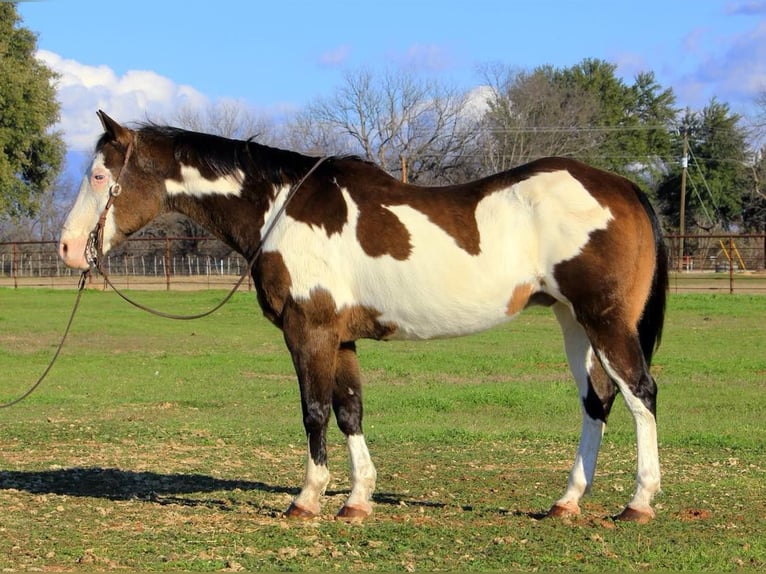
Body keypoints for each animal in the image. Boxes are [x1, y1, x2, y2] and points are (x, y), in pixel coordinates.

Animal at [60, 110, 668, 524]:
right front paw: (357, 499)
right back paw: (567, 501)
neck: (282, 206)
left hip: (604, 320)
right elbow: (349, 410)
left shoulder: (308, 332)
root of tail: (621, 185)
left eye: (98, 177)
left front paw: (307, 499)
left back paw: (639, 502)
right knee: (598, 401)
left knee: (640, 393)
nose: (68, 249)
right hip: (573, 323)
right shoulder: (341, 338)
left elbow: (314, 413)